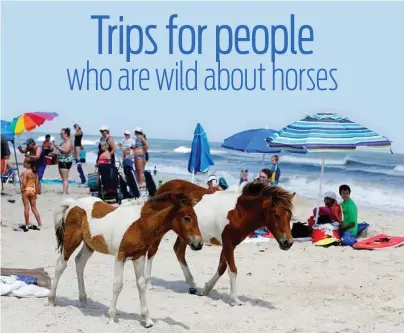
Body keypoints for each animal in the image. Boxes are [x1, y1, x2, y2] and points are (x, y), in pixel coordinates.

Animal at [48, 192, 202, 326]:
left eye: (196, 218)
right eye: (186, 218)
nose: (198, 244)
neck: (140, 224)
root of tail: (73, 203)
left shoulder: (139, 257)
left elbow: (141, 285)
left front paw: (147, 320)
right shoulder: (120, 256)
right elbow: (117, 285)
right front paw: (111, 318)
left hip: (89, 245)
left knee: (79, 262)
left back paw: (84, 301)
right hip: (71, 240)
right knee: (60, 265)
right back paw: (51, 300)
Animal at [145, 180, 294, 304]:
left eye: (290, 216)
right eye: (277, 215)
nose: (288, 242)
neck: (239, 212)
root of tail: (163, 188)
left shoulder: (229, 244)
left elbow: (222, 267)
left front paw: (205, 290)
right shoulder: (228, 243)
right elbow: (232, 269)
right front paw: (234, 299)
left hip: (185, 235)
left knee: (178, 251)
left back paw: (192, 286)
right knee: (152, 251)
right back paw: (149, 284)